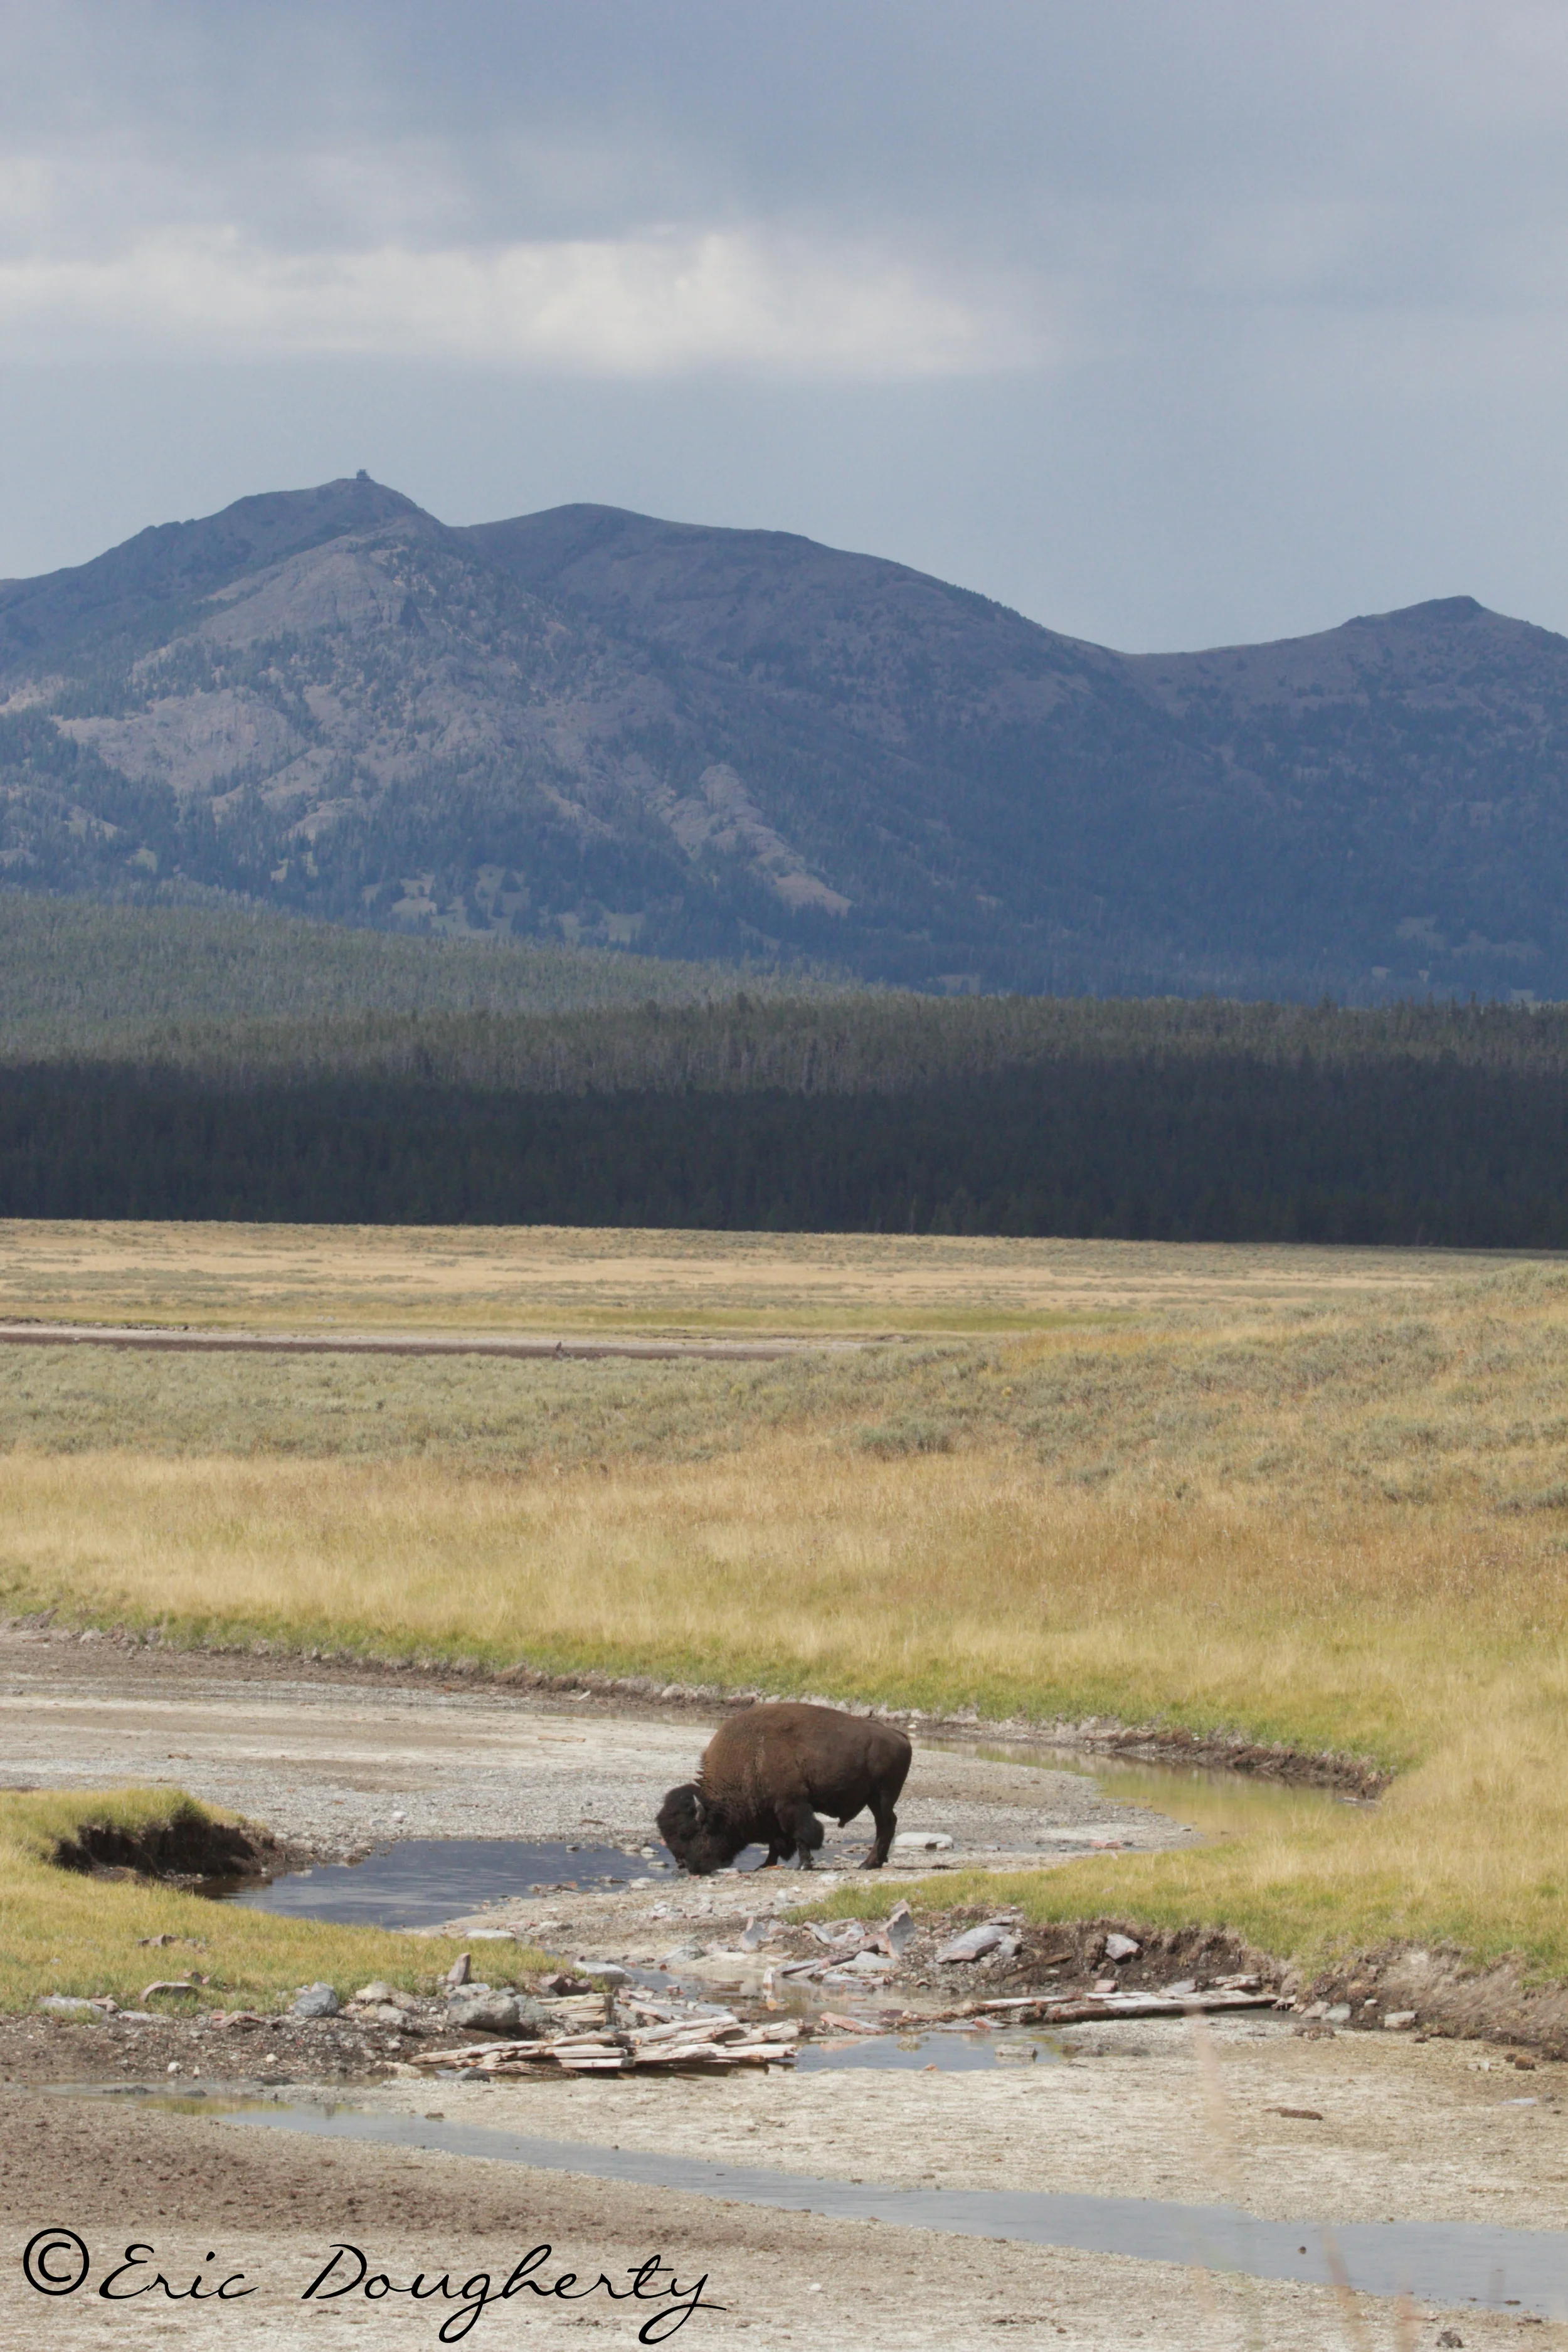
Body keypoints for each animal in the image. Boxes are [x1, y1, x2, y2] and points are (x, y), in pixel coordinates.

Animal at [656, 1701, 912, 1875]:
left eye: (689, 1833)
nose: (684, 1864)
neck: (750, 1758)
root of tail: (900, 1737)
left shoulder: (791, 1806)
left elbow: (802, 1835)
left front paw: (804, 1865)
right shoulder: (772, 1813)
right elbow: (777, 1842)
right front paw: (765, 1864)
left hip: (881, 1797)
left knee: (885, 1826)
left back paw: (867, 1864)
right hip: (877, 1799)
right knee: (887, 1826)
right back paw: (874, 1863)